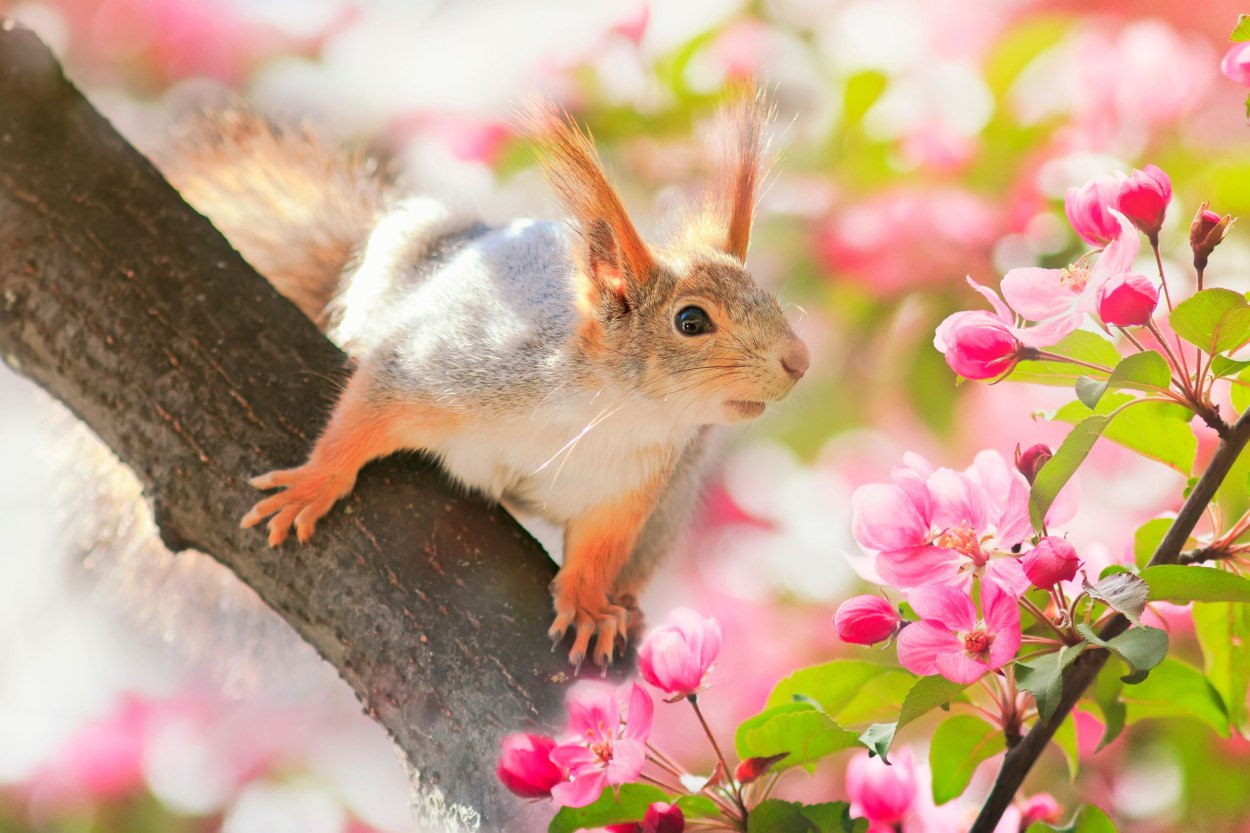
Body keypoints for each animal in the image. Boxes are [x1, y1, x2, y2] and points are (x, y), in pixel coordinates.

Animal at [161, 90, 805, 670]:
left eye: (772, 299)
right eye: (691, 321)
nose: (799, 360)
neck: (607, 409)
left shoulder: (628, 488)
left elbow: (598, 549)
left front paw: (589, 605)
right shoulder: (444, 365)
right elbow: (369, 409)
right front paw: (314, 484)